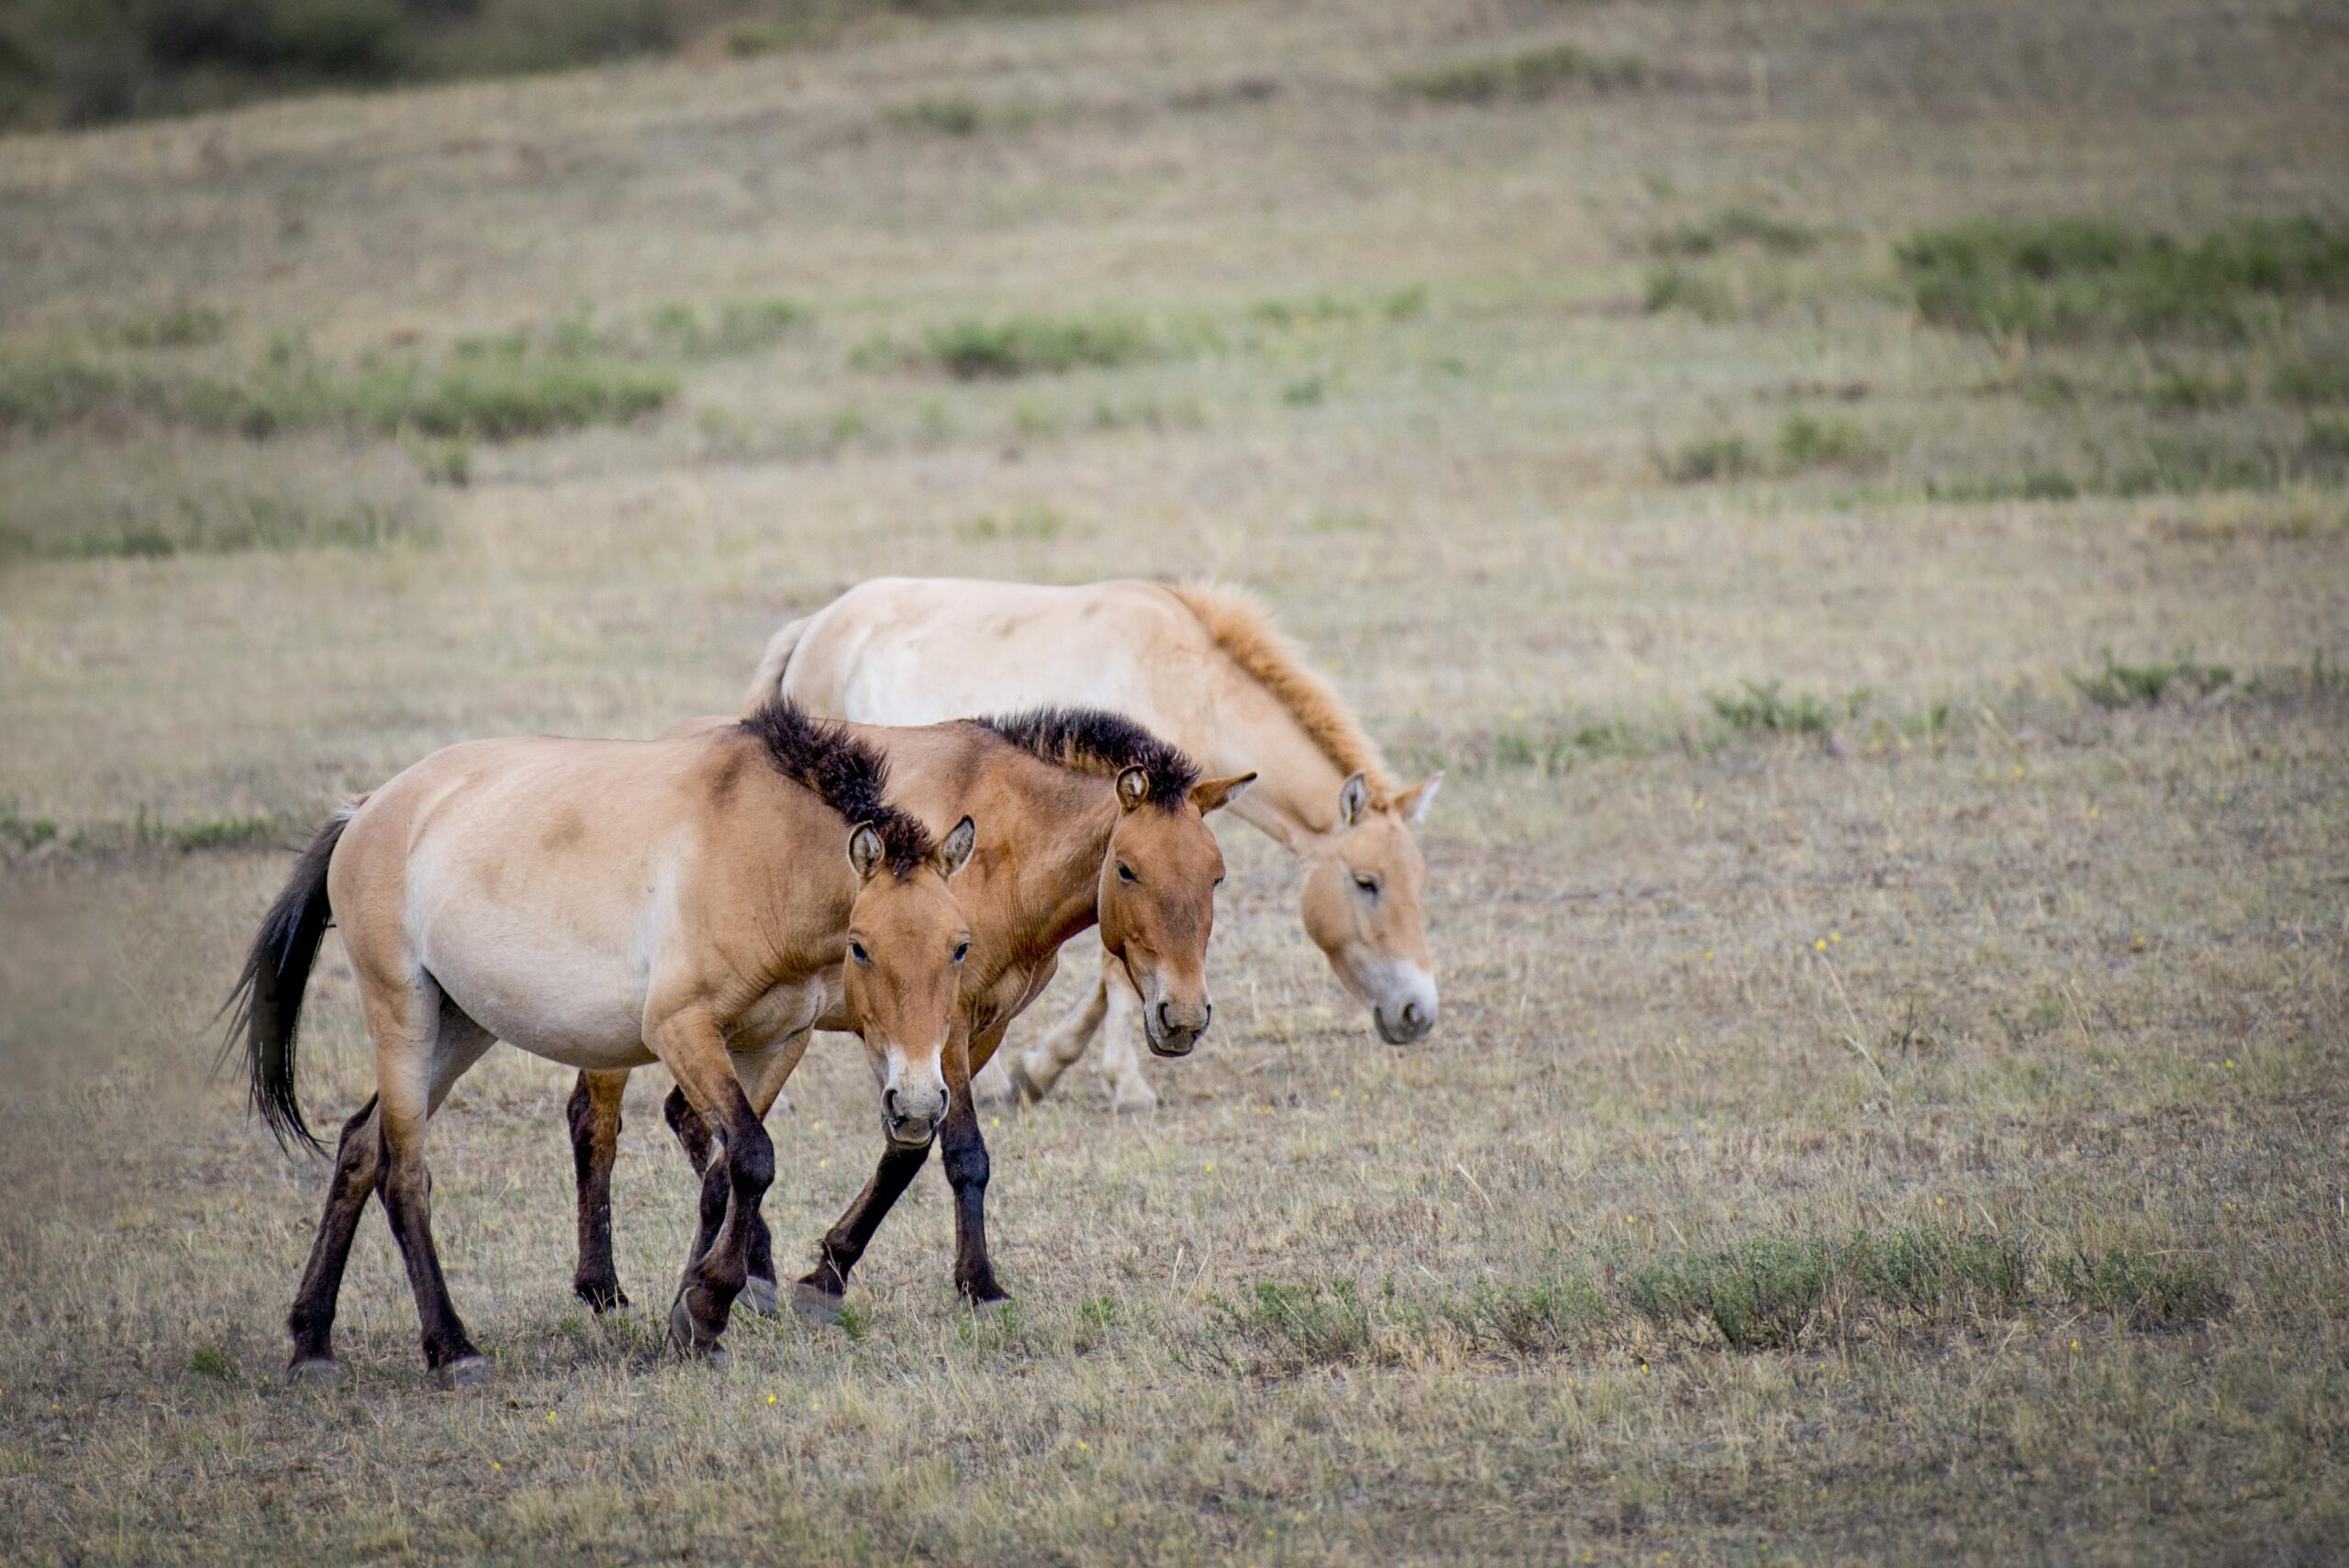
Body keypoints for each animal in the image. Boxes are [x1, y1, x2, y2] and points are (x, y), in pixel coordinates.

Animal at [224, 699, 976, 1380]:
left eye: (961, 946)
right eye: (861, 946)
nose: (915, 1105)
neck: (764, 859)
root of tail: (369, 806)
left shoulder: (774, 1043)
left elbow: (723, 1173)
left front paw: (692, 1316)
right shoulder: (681, 1030)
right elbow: (754, 1159)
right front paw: (707, 1305)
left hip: (460, 1025)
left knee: (358, 1147)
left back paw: (312, 1343)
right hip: (402, 1014)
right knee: (403, 1172)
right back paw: (452, 1349)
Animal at [568, 704, 1259, 1314]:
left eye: (1218, 876)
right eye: (1128, 869)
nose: (1183, 1016)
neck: (1004, 847)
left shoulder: (978, 1031)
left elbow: (908, 1150)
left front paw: (827, 1270)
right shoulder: (942, 1031)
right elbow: (962, 1156)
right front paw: (978, 1284)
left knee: (692, 1122)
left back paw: (751, 1268)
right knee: (595, 1124)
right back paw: (602, 1287)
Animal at [751, 579, 1437, 1112]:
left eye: (1418, 883)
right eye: (1367, 882)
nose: (1418, 1012)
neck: (1187, 680)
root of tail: (814, 626)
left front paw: (1042, 1069)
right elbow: (1117, 973)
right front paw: (1119, 1083)